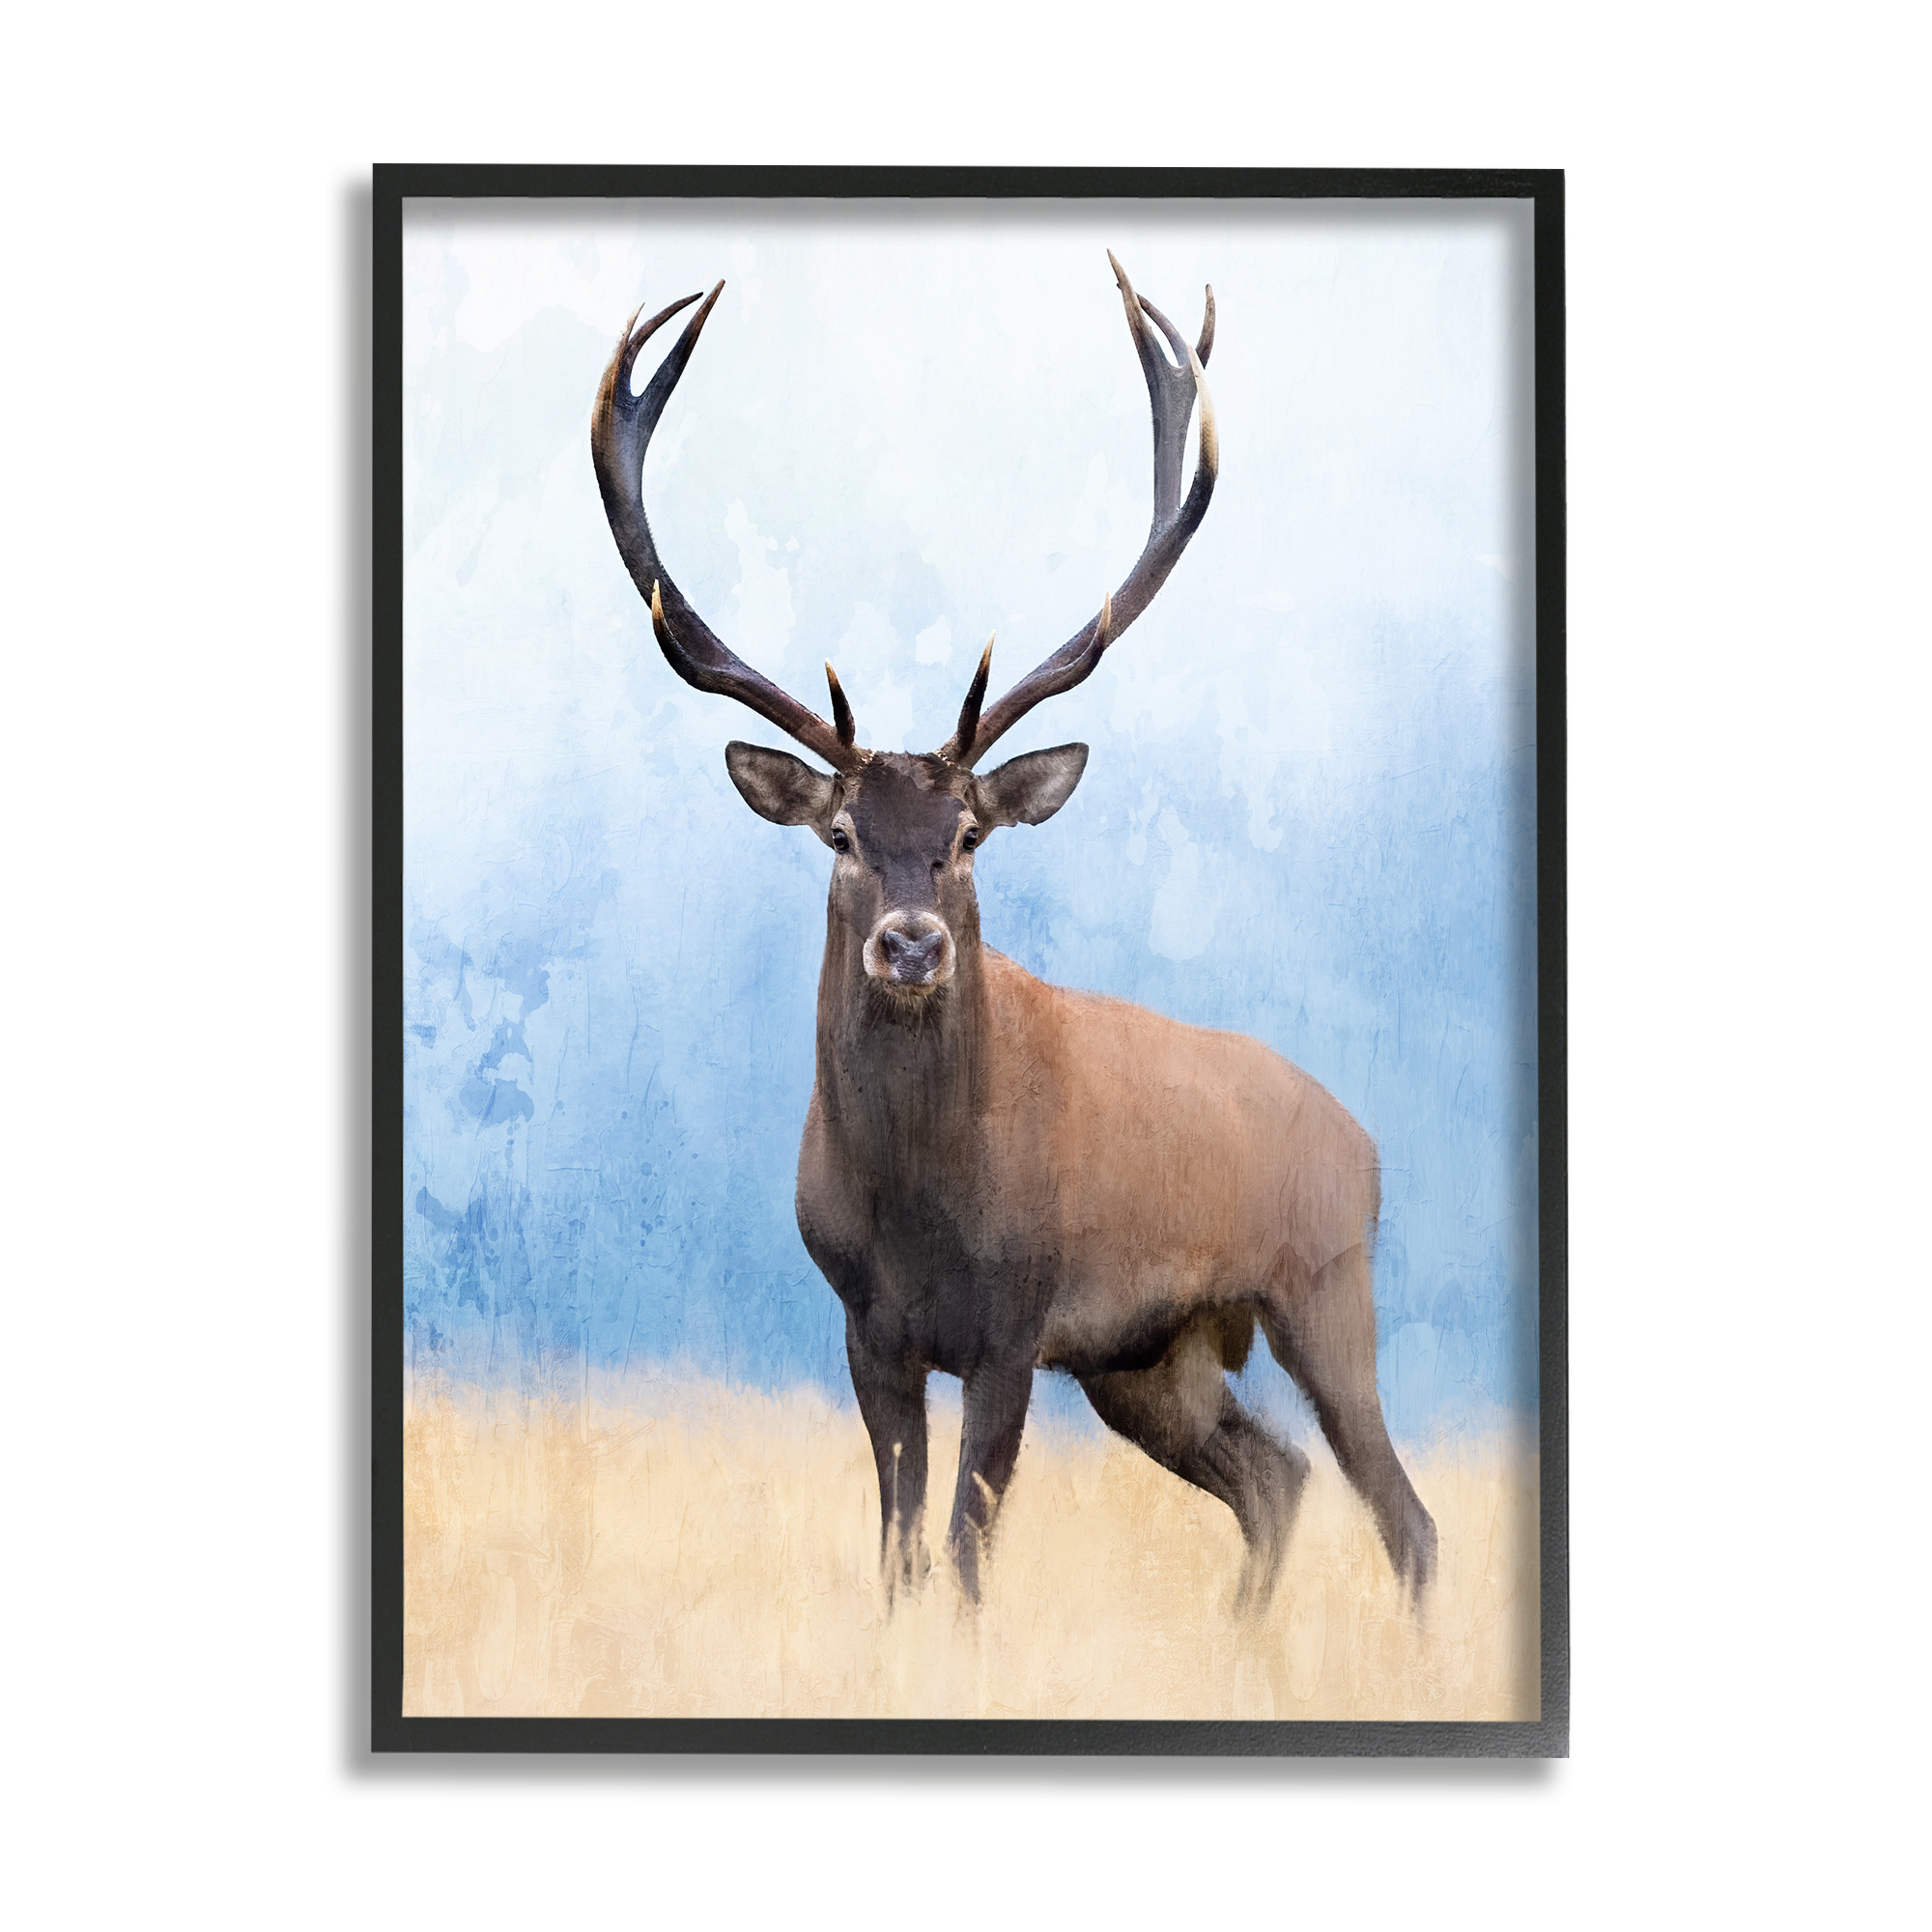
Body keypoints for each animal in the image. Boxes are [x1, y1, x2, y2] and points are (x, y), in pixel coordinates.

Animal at [590, 255, 1437, 1614]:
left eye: (969, 834)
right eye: (838, 833)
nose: (910, 944)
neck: (917, 1208)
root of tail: (1365, 1146)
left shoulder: (1016, 1318)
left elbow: (965, 1549)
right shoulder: (865, 1327)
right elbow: (898, 1548)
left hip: (1321, 1288)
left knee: (1399, 1510)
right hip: (1148, 1359)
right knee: (1275, 1474)